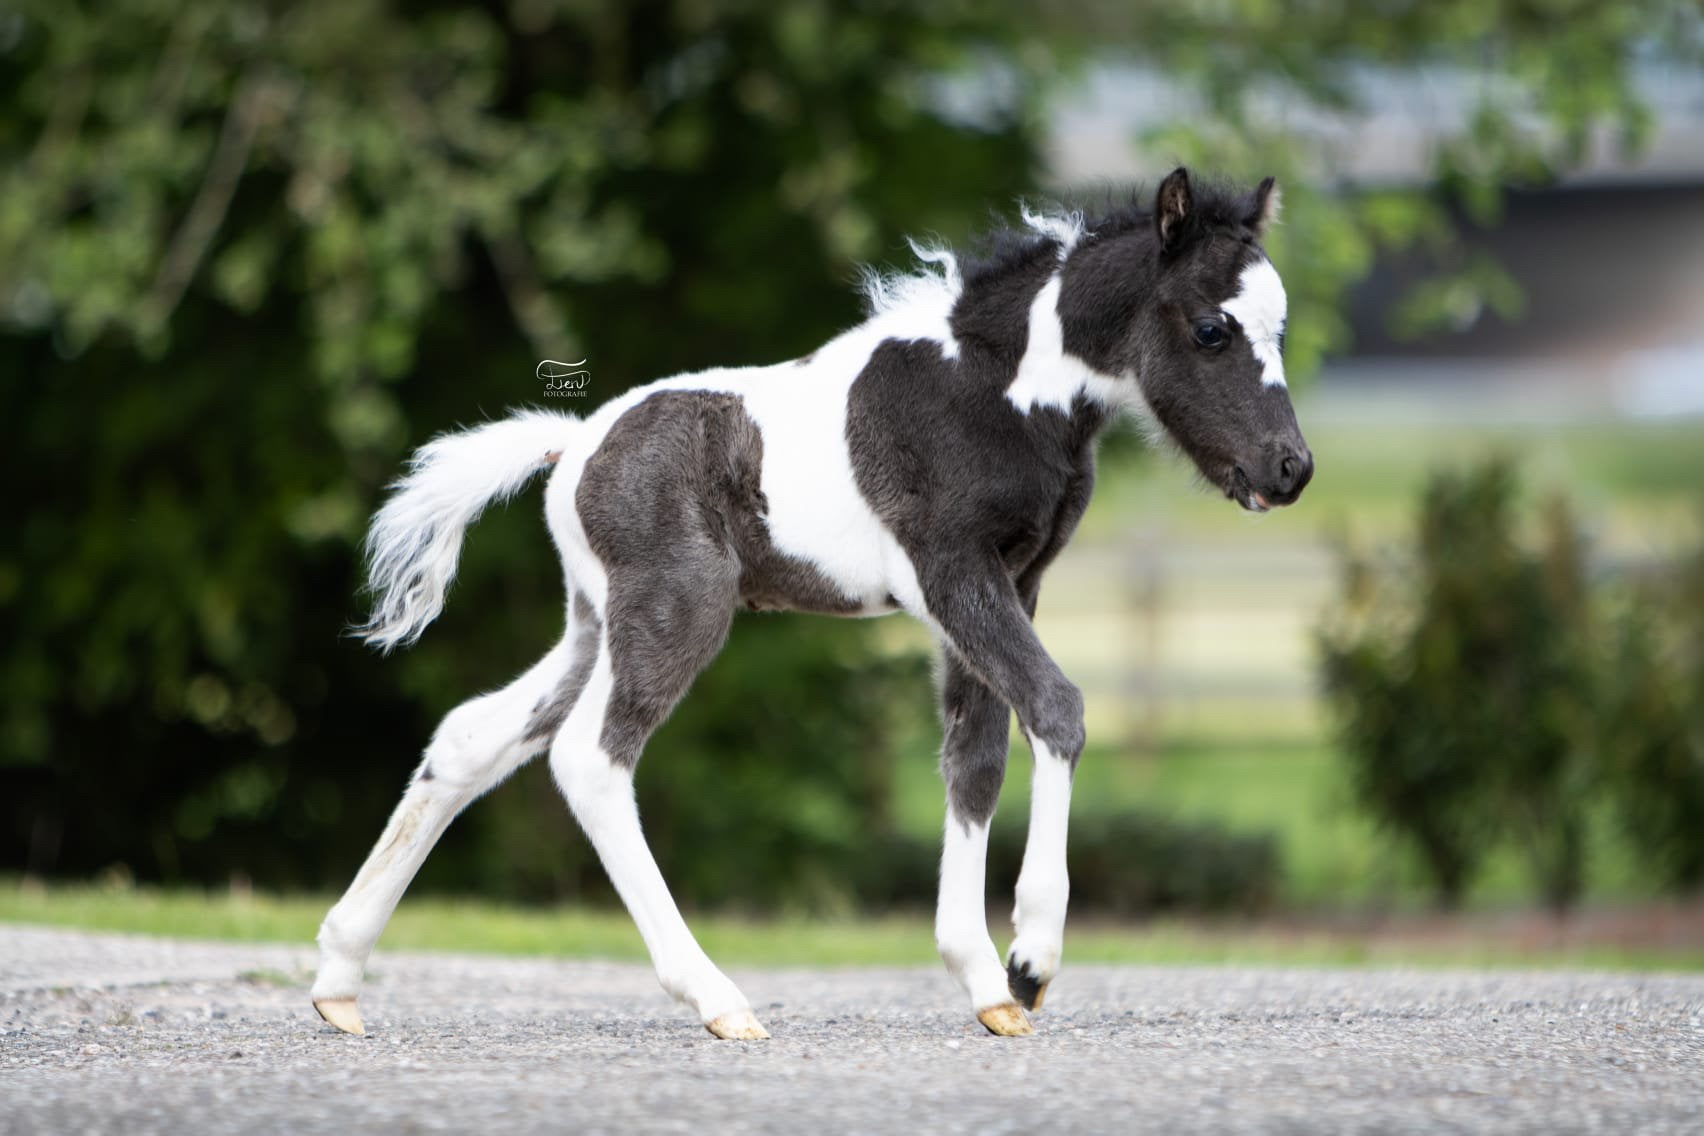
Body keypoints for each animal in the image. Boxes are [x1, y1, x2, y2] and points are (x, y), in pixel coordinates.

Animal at [310, 167, 1313, 1041]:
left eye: (1282, 329)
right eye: (1213, 328)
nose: (1291, 470)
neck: (993, 391)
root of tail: (574, 444)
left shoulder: (1012, 581)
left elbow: (976, 759)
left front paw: (986, 982)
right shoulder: (951, 574)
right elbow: (1055, 708)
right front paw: (1030, 956)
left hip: (596, 622)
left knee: (472, 737)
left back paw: (338, 978)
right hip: (676, 609)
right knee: (591, 759)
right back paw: (718, 1000)